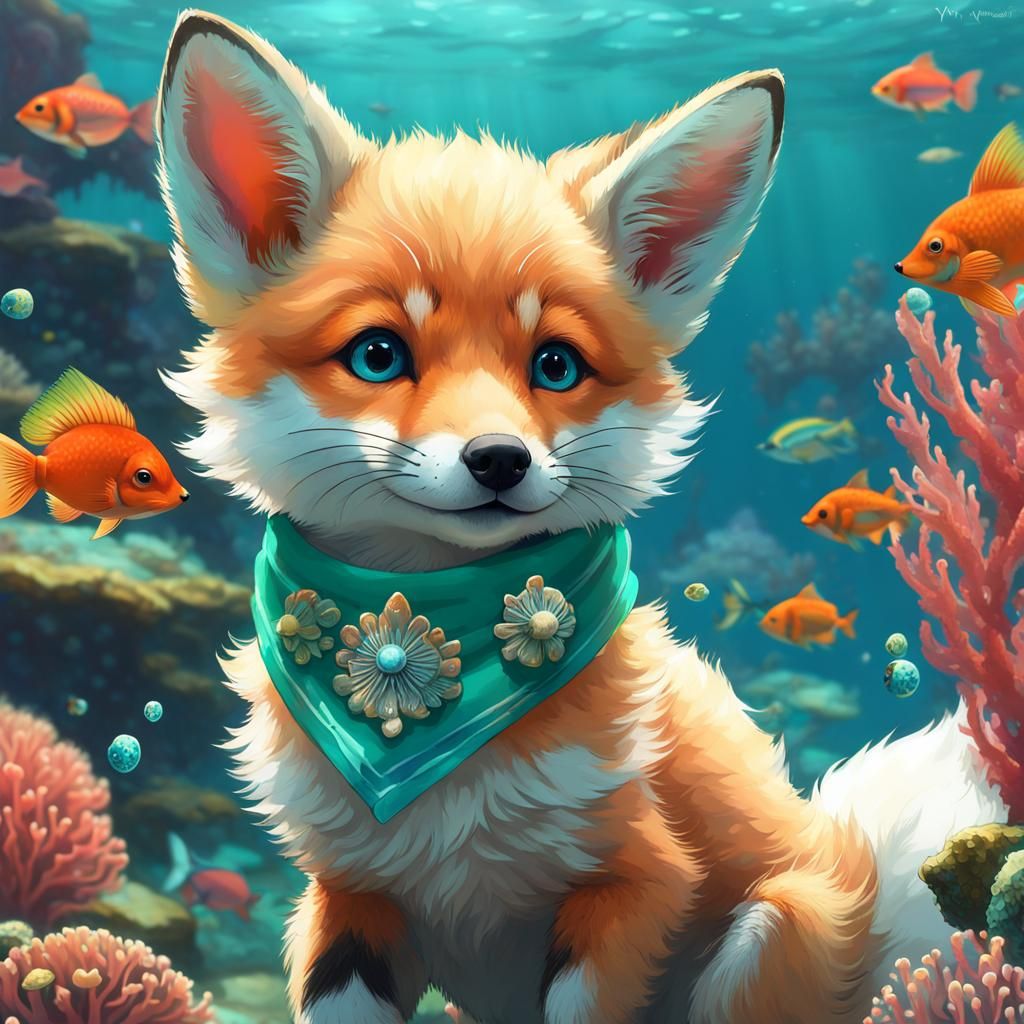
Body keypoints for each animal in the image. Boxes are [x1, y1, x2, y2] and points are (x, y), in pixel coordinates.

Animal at [154, 11, 1008, 1024]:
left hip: (764, 938)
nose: (499, 459)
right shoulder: (347, 894)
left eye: (555, 366)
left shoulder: (636, 877)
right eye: (377, 355)